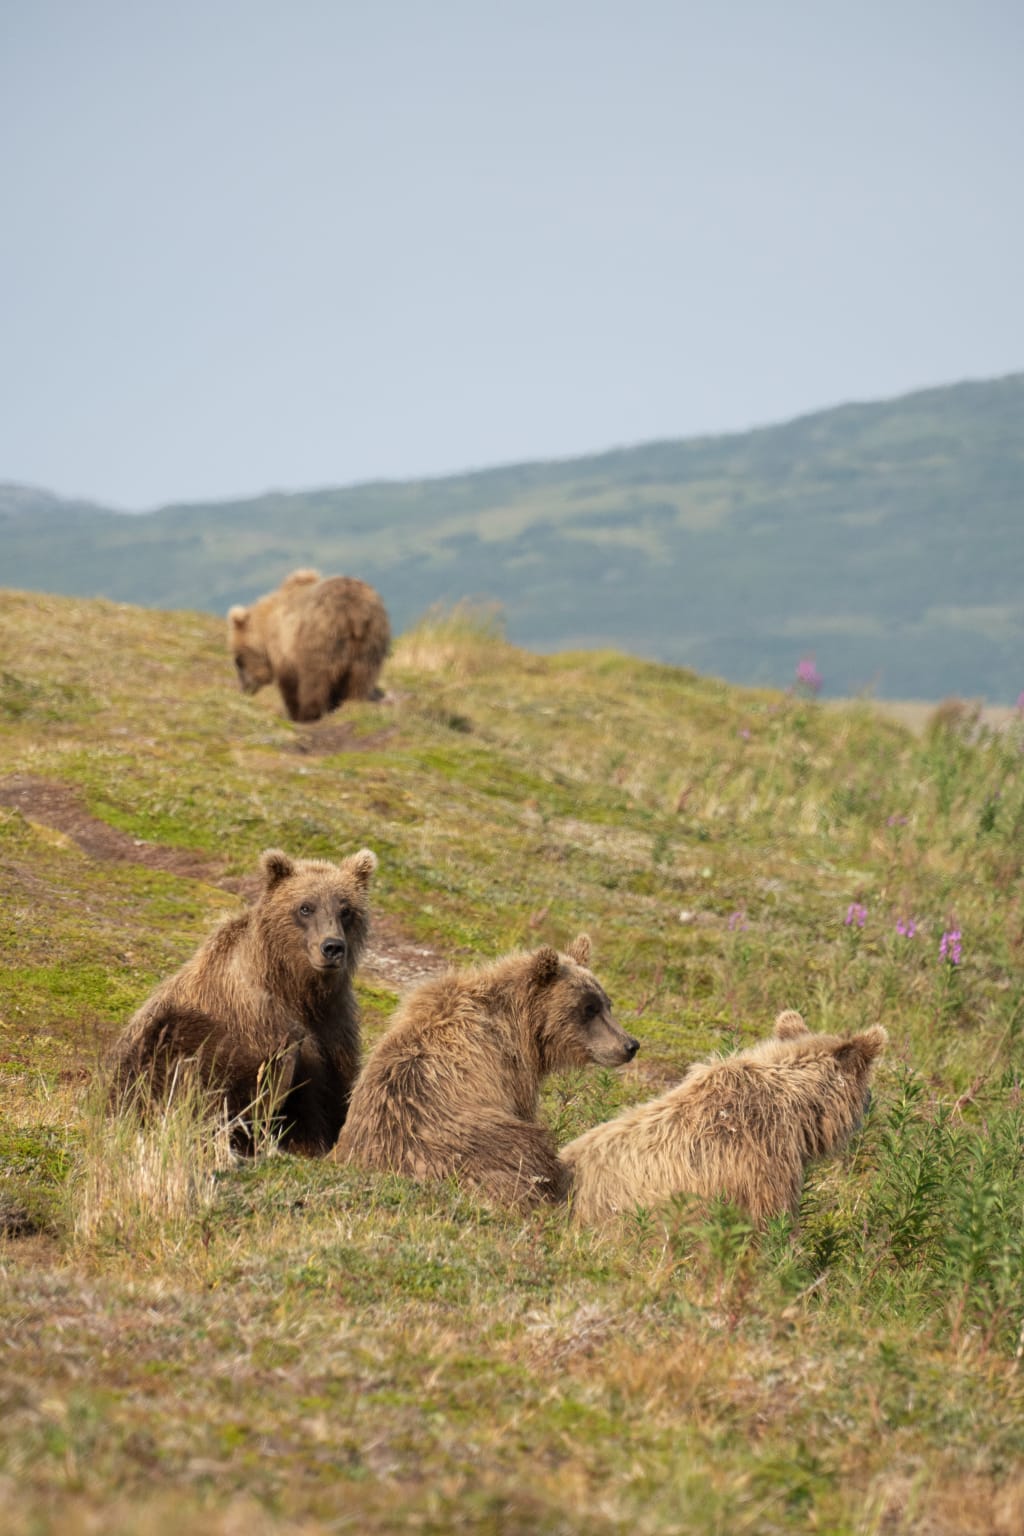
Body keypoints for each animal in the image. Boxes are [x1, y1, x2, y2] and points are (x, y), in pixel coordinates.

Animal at [108, 846, 377, 1154]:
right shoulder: (256, 1017)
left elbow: (338, 1086)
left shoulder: (335, 1025)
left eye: (346, 910)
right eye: (305, 907)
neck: (299, 990)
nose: (332, 947)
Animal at [228, 568, 391, 722]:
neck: (265, 627)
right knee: (362, 676)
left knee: (315, 679)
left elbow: (289, 683)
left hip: (321, 635)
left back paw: (309, 713)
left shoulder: (285, 644)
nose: (244, 688)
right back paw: (353, 701)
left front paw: (294, 713)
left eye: (238, 659)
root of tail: (354, 611)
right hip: (372, 638)